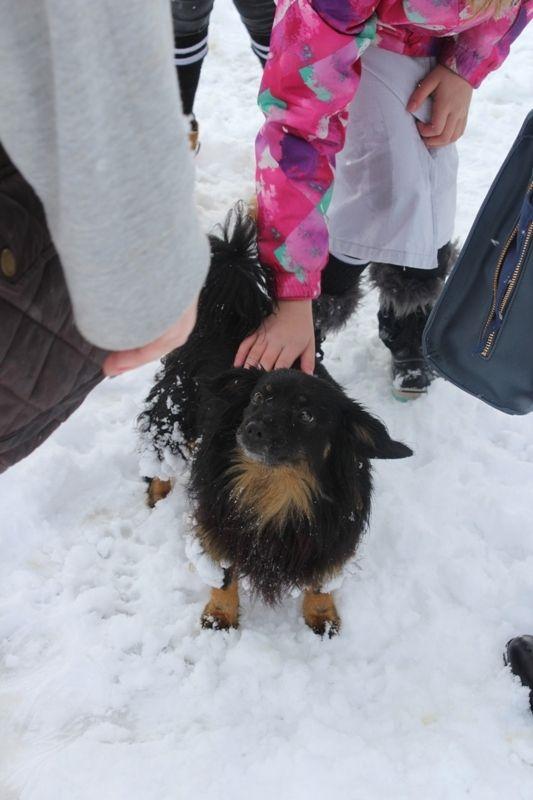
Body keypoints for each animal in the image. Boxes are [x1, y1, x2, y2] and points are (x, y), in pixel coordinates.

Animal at [138, 206, 412, 636]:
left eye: (306, 414)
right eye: (258, 397)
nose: (251, 429)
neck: (277, 487)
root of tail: (230, 310)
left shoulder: (332, 535)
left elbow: (321, 581)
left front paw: (321, 616)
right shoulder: (219, 521)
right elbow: (224, 573)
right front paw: (220, 615)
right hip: (175, 409)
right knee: (160, 446)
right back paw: (158, 490)